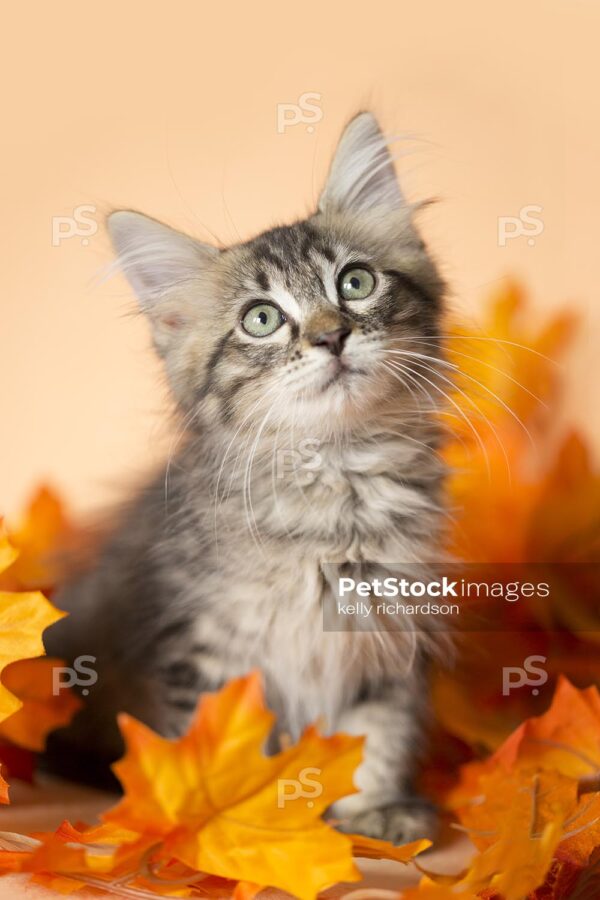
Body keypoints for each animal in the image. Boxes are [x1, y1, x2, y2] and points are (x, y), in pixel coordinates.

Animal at [45, 114, 446, 844]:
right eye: (261, 319)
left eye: (355, 283)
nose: (331, 337)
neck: (336, 483)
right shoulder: (207, 652)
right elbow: (222, 749)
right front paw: (234, 825)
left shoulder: (385, 630)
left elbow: (377, 731)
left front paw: (373, 809)